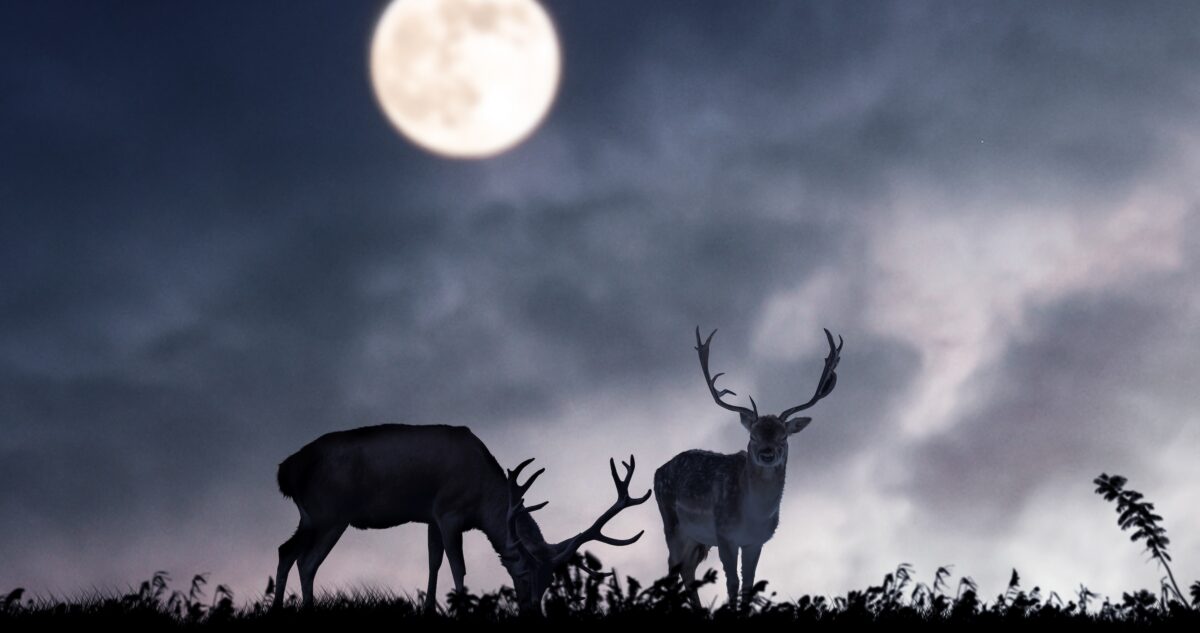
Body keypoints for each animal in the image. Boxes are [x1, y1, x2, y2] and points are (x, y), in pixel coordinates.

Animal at [273, 423, 650, 614]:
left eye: (549, 583)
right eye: (523, 574)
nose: (532, 613)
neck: (482, 499)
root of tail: (287, 471)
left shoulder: (431, 517)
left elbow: (433, 562)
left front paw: (429, 610)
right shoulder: (449, 512)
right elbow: (458, 567)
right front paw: (463, 611)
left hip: (311, 516)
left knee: (285, 551)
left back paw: (277, 609)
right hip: (330, 513)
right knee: (306, 561)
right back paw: (307, 611)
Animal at [654, 327, 842, 610]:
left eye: (783, 436)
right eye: (753, 435)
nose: (767, 453)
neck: (752, 515)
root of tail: (658, 471)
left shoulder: (756, 540)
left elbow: (748, 584)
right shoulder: (724, 534)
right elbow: (732, 583)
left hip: (696, 538)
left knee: (687, 570)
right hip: (672, 523)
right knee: (672, 568)